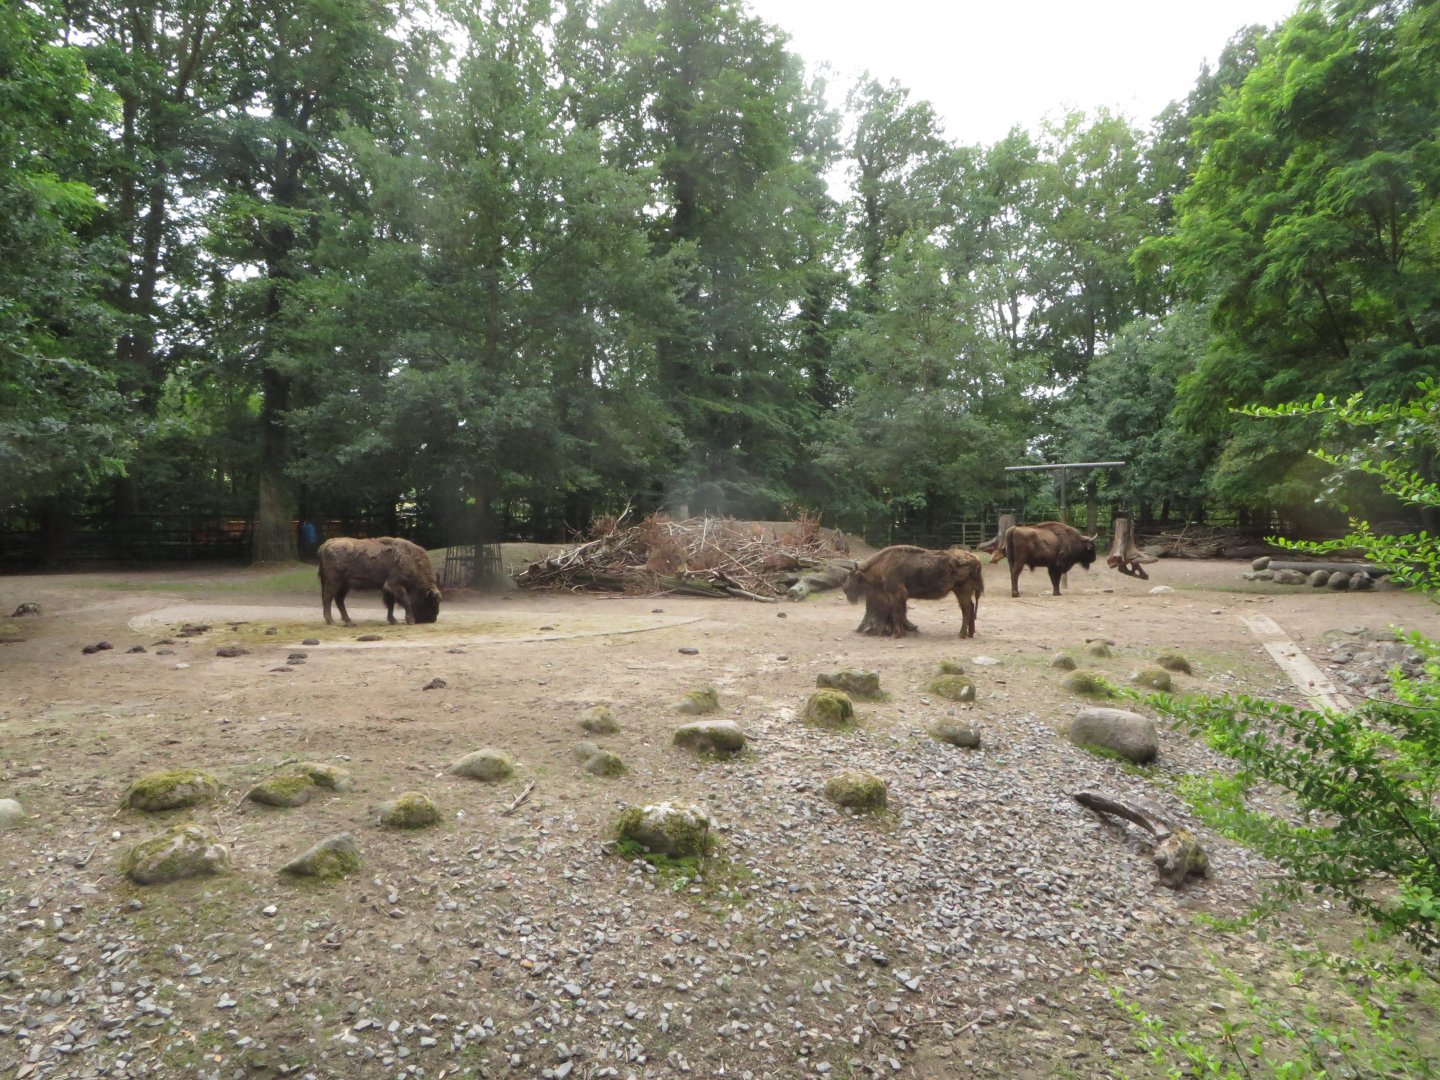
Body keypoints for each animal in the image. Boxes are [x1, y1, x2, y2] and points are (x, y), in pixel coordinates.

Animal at [843, 545, 984, 639]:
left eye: (852, 575)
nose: (844, 588)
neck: (884, 564)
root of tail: (976, 559)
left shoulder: (896, 594)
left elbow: (896, 612)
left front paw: (896, 634)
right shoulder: (902, 597)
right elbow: (902, 612)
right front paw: (904, 631)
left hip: (962, 590)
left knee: (967, 609)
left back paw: (961, 634)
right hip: (963, 591)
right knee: (970, 607)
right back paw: (970, 633)